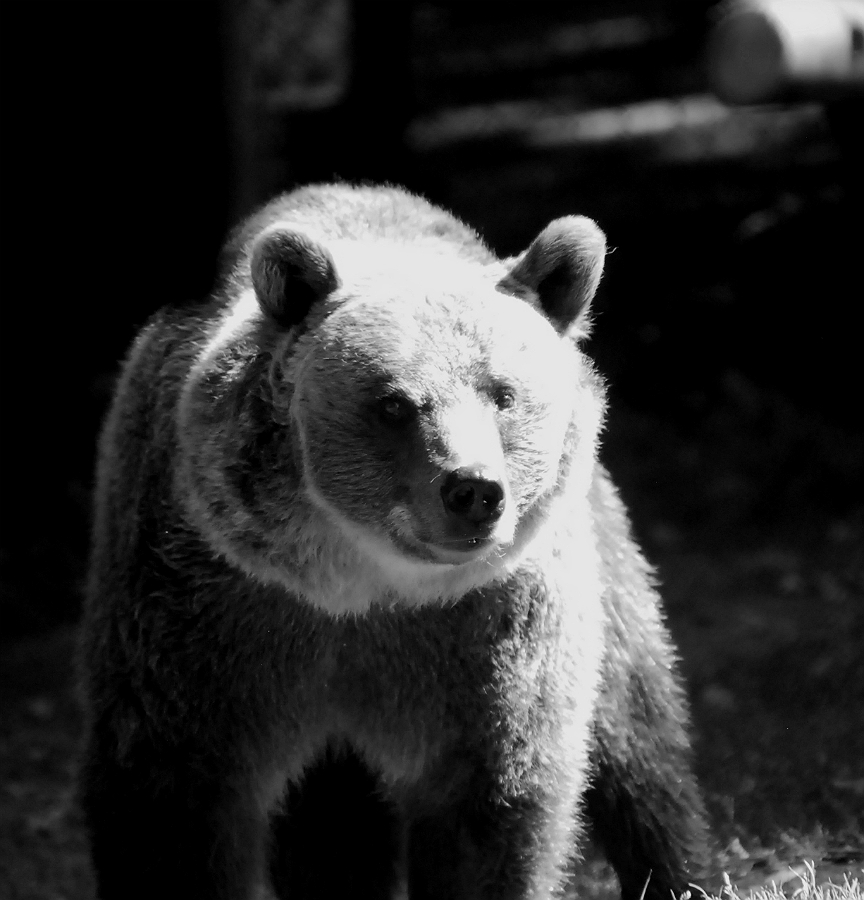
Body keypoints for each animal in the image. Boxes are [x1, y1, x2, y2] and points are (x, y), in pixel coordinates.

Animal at [79, 182, 711, 900]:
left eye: (502, 394)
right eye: (394, 403)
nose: (473, 490)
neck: (358, 587)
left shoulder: (487, 640)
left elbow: (488, 807)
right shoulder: (205, 618)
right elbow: (171, 803)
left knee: (642, 747)